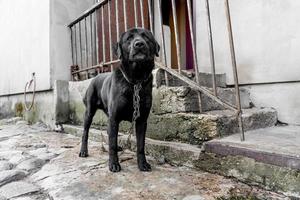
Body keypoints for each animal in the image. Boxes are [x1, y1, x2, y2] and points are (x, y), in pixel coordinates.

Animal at [78, 27, 161, 173]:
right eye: (129, 38)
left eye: (146, 37)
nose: (139, 44)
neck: (135, 81)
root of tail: (94, 77)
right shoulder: (114, 118)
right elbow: (111, 143)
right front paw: (113, 164)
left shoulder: (141, 121)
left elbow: (140, 145)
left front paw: (142, 164)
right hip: (89, 112)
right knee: (85, 133)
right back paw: (83, 151)